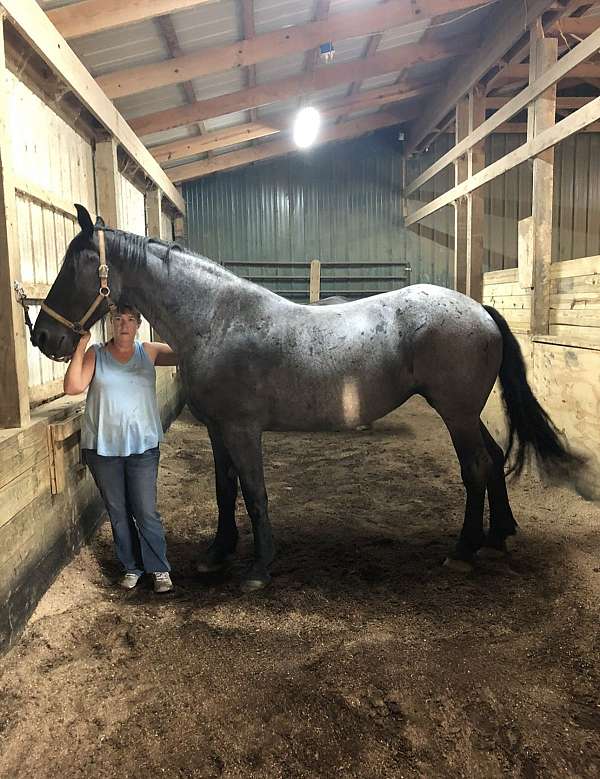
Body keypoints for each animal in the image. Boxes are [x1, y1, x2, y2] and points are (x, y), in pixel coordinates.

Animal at [30, 206, 580, 592]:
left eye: (74, 267)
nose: (42, 338)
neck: (217, 319)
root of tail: (480, 311)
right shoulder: (218, 431)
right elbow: (226, 490)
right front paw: (217, 554)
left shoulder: (242, 430)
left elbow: (254, 493)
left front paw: (259, 568)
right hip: (464, 412)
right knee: (493, 456)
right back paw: (498, 535)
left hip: (455, 413)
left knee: (477, 468)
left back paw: (464, 551)